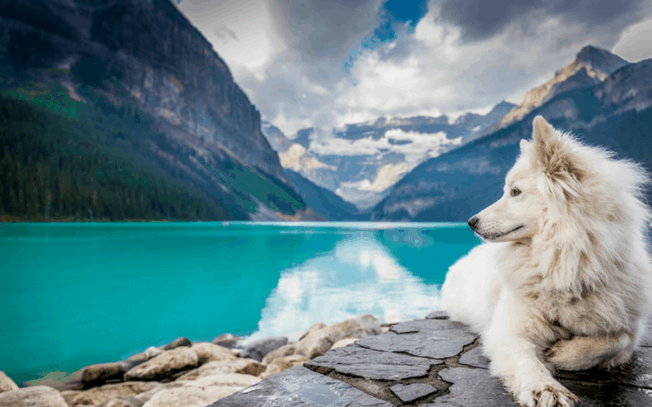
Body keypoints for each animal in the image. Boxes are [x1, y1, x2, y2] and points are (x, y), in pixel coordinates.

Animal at [440, 116, 652, 407]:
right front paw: (546, 389)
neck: (564, 263)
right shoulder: (509, 332)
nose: (471, 222)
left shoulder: (630, 327)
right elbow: (528, 365)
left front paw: (563, 353)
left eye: (515, 191)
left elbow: (613, 340)